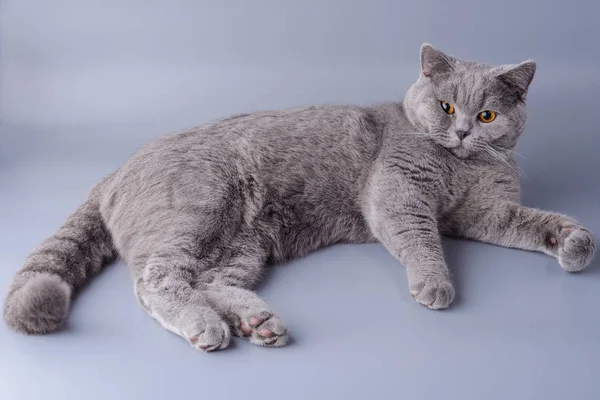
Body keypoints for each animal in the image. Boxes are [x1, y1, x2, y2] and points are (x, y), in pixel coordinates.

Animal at [4, 42, 596, 352]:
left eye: (488, 114)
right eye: (447, 106)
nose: (464, 131)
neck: (460, 167)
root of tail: (114, 171)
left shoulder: (481, 213)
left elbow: (525, 221)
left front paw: (572, 240)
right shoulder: (397, 193)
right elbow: (421, 240)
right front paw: (434, 284)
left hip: (241, 243)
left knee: (209, 281)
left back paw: (257, 322)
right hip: (199, 208)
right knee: (157, 281)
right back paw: (207, 326)